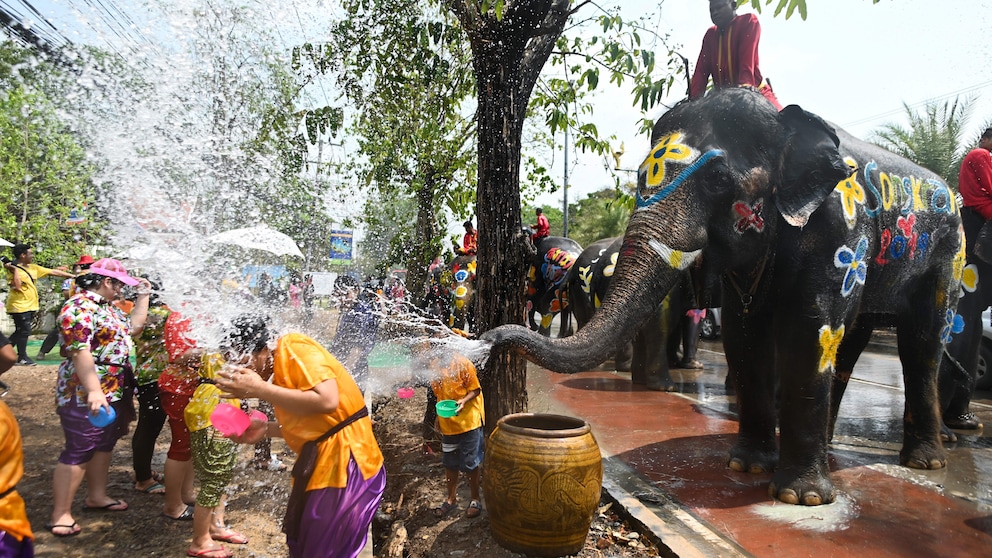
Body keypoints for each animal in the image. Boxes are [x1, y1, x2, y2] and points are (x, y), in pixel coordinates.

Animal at [484, 87, 964, 508]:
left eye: (717, 179)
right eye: (638, 177)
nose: (491, 338)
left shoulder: (841, 233)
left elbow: (812, 330)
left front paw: (799, 498)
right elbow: (743, 332)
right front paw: (746, 467)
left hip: (948, 255)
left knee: (921, 342)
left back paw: (925, 462)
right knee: (854, 342)